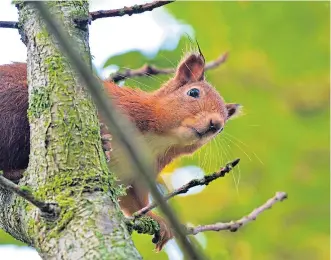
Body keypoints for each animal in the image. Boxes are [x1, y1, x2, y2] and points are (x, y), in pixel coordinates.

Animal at [0, 52, 240, 250]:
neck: (158, 139)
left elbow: (135, 203)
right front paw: (103, 141)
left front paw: (161, 222)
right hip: (16, 112)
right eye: (193, 92)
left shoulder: (139, 173)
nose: (215, 124)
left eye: (223, 128)